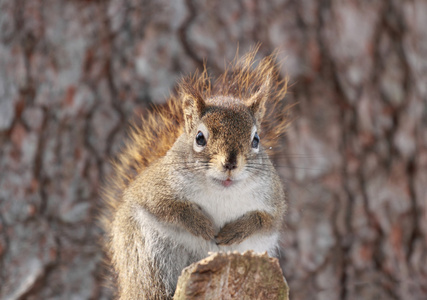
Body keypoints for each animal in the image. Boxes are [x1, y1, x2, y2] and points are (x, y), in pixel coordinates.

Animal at [101, 49, 290, 300]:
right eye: (200, 138)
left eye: (256, 140)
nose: (230, 164)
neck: (222, 191)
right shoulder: (155, 189)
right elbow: (170, 208)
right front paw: (202, 225)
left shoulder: (273, 200)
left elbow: (265, 221)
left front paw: (236, 231)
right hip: (146, 258)